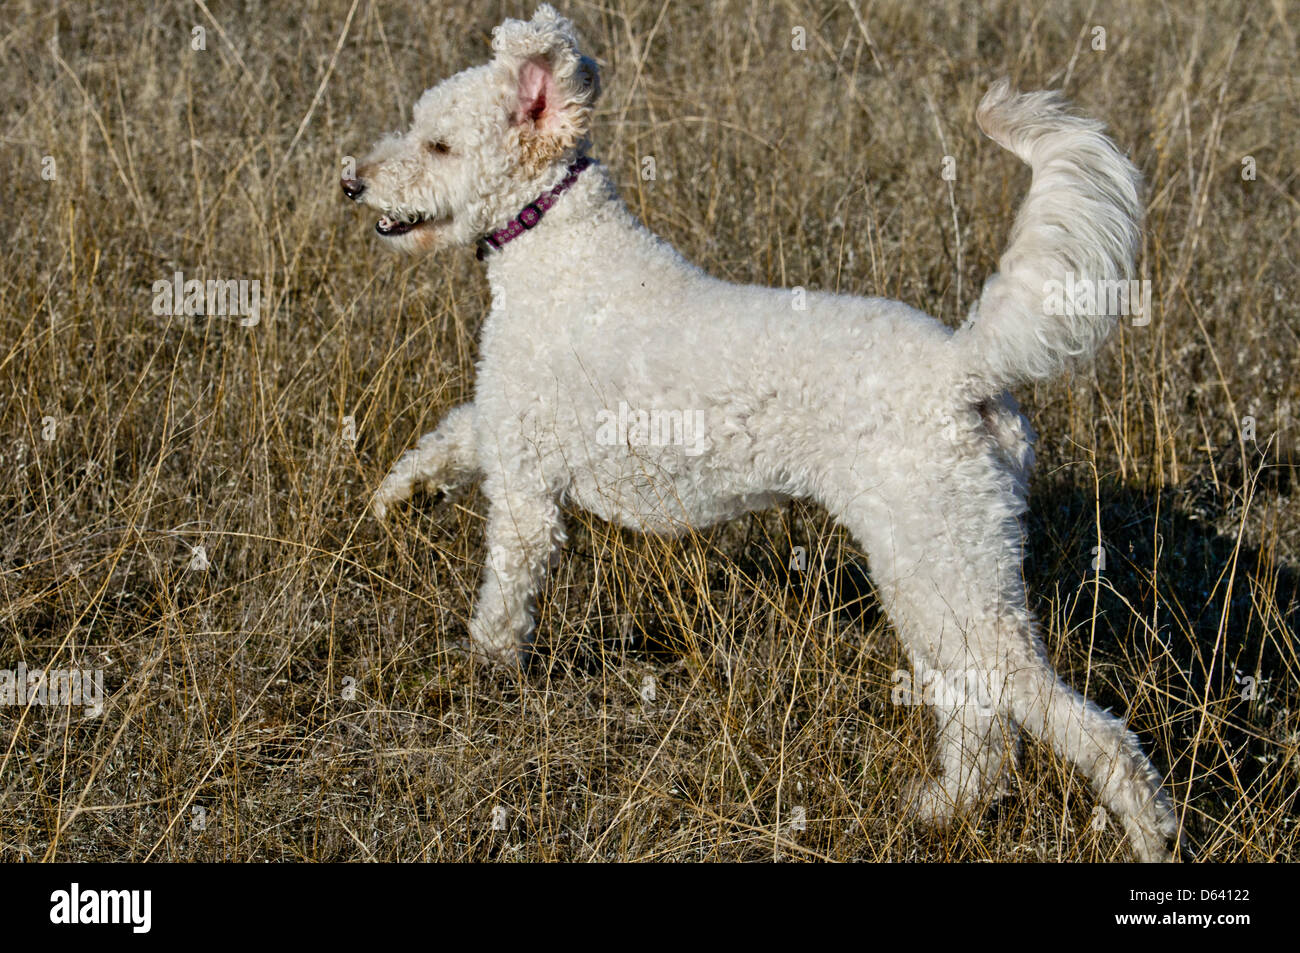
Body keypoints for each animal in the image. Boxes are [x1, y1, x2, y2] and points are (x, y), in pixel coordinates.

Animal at [343, 1, 1180, 863]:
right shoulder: (501, 423)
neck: (557, 245)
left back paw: (1148, 831)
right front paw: (396, 497)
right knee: (977, 716)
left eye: (440, 145)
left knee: (1083, 727)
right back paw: (942, 809)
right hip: (938, 574)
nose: (352, 181)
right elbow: (447, 438)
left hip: (946, 569)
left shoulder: (526, 484)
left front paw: (485, 669)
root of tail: (965, 368)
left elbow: (504, 596)